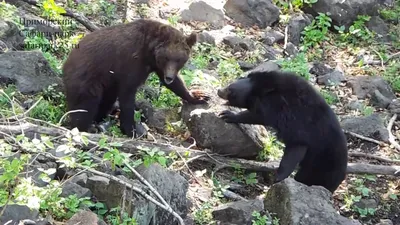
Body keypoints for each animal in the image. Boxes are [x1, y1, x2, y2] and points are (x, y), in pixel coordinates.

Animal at [62, 18, 209, 137]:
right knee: (85, 104)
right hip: (87, 78)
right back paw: (86, 127)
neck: (149, 51)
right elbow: (127, 94)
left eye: (179, 60)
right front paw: (131, 130)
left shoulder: (155, 65)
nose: (169, 77)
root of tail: (66, 61)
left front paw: (198, 95)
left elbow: (176, 84)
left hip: (107, 83)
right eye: (167, 57)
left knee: (106, 100)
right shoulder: (131, 62)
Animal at [217, 70, 348, 193]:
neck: (262, 89)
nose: (219, 90)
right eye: (229, 85)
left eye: (230, 90)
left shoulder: (293, 120)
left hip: (320, 167)